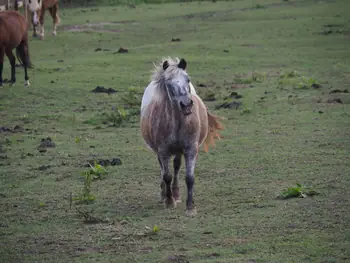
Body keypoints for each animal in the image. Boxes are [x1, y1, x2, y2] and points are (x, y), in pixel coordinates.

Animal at [140, 57, 224, 217]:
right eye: (168, 82)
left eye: (187, 79)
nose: (186, 105)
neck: (178, 122)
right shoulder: (163, 151)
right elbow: (166, 176)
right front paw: (169, 202)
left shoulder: (190, 149)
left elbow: (189, 178)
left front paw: (190, 207)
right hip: (159, 151)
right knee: (163, 169)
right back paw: (164, 194)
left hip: (179, 151)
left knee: (177, 166)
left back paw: (176, 194)